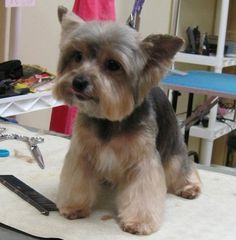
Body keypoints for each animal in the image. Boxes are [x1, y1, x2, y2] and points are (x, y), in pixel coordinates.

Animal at [54, 5, 201, 234]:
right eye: (77, 56)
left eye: (113, 64)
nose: (78, 82)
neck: (110, 120)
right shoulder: (82, 152)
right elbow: (77, 179)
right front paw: (74, 206)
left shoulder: (143, 159)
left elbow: (143, 190)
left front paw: (139, 221)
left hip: (173, 143)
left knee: (182, 165)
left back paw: (189, 186)